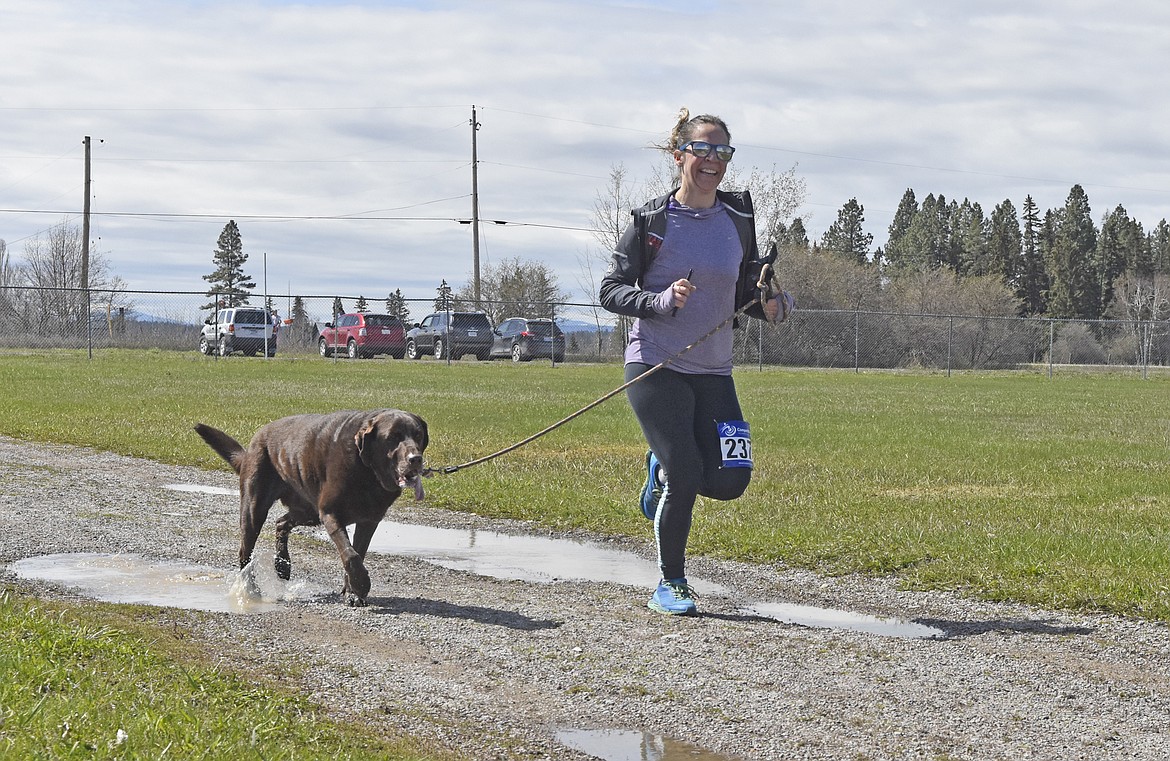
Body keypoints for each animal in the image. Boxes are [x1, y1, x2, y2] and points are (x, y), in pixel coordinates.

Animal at [191, 409, 430, 604]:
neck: (367, 471)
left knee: (281, 522)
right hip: (255, 507)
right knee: (245, 551)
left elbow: (357, 554)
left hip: (308, 510)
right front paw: (362, 585)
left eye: (418, 435)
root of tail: (254, 441)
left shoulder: (368, 521)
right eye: (393, 437)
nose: (416, 458)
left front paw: (352, 592)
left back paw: (283, 565)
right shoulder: (331, 513)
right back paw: (250, 589)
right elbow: (350, 555)